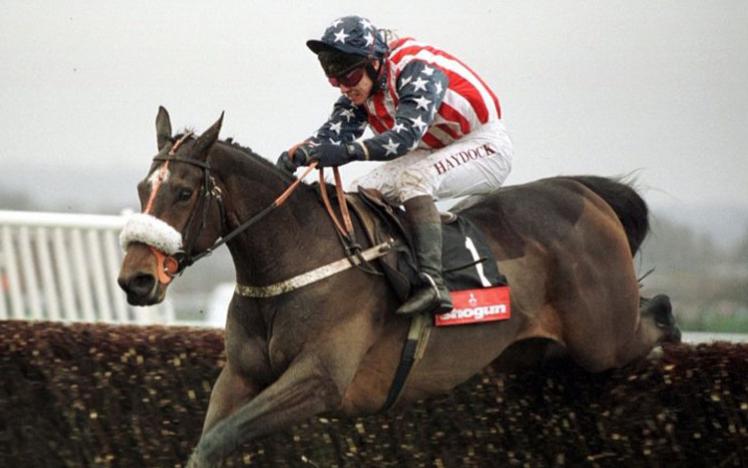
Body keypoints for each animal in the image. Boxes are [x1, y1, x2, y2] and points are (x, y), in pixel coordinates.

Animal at [118, 107, 684, 468]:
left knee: (653, 312)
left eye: (184, 192)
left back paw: (674, 332)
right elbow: (208, 442)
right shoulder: (238, 376)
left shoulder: (319, 380)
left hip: (602, 338)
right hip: (532, 351)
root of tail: (583, 192)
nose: (135, 279)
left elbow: (221, 439)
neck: (294, 263)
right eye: (144, 188)